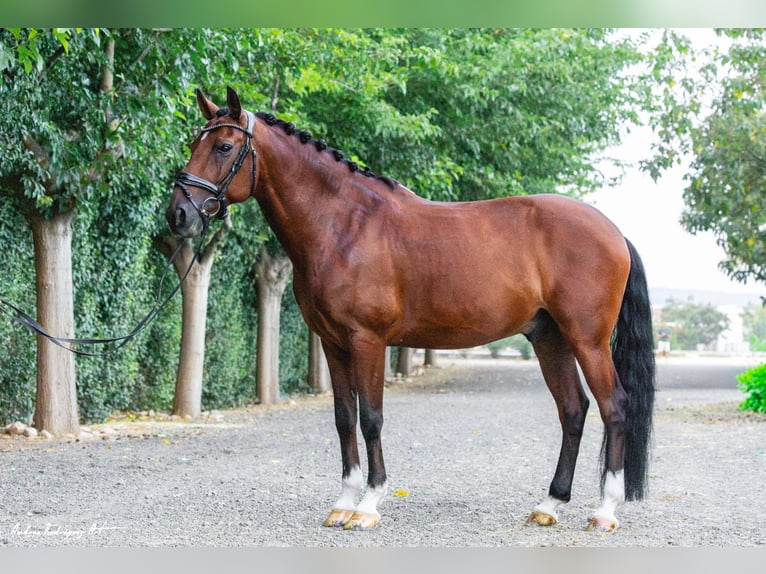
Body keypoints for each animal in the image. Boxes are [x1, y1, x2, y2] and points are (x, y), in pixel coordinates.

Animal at [166, 87, 655, 532]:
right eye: (192, 143)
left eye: (224, 147)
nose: (179, 216)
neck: (344, 225)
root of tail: (614, 232)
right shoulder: (332, 343)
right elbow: (344, 419)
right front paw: (343, 502)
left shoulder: (368, 341)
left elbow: (371, 419)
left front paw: (368, 506)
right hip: (549, 337)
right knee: (572, 409)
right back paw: (549, 504)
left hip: (587, 339)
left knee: (614, 407)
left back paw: (605, 511)